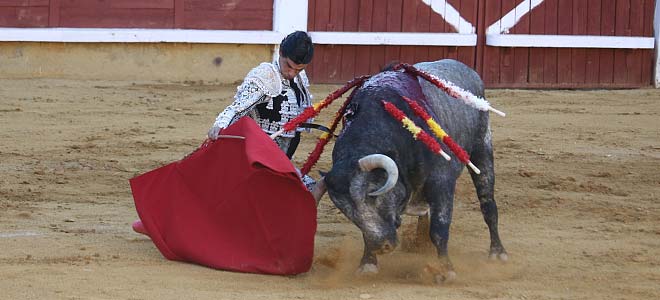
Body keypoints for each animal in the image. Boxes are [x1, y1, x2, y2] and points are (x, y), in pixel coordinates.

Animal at [324, 58, 506, 282]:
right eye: (345, 209)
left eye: (373, 195)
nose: (382, 246)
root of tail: (468, 69)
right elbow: (366, 233)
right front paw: (367, 263)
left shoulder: (442, 182)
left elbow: (439, 228)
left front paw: (446, 270)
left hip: (482, 148)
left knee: (487, 203)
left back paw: (497, 252)